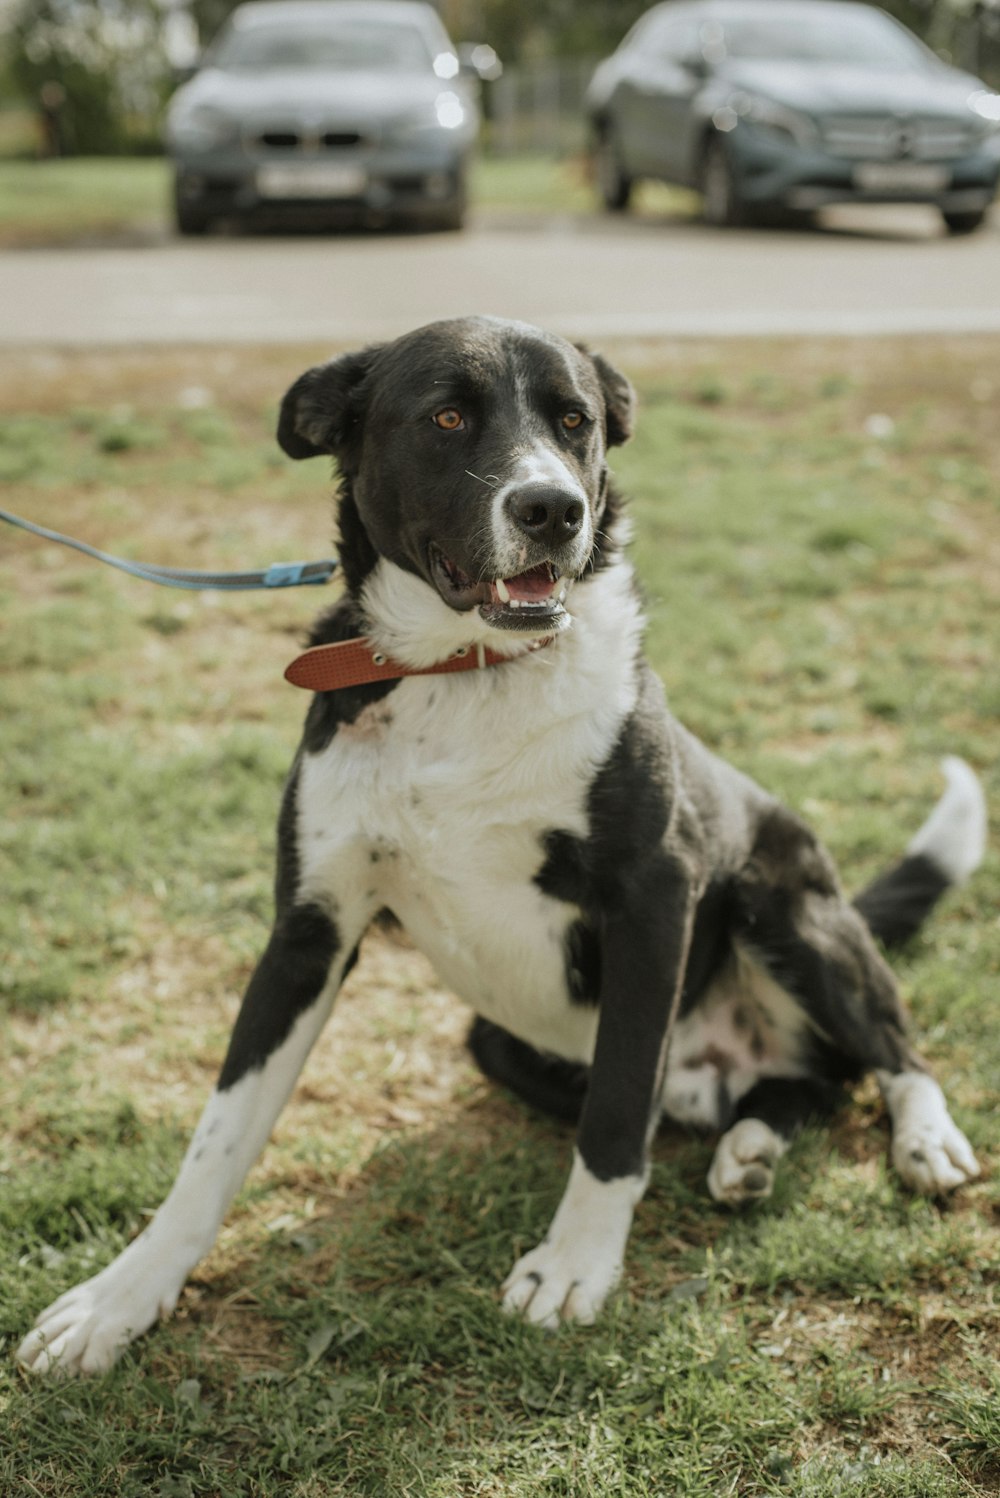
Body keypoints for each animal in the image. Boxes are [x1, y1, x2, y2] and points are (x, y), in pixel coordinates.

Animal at [19, 316, 982, 1372]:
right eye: (446, 417)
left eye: (575, 421)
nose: (554, 508)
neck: (465, 670)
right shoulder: (309, 927)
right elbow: (217, 1137)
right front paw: (122, 1299)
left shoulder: (654, 895)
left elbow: (618, 1112)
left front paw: (575, 1266)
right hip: (499, 1040)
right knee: (783, 1088)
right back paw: (748, 1145)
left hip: (786, 906)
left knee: (884, 1049)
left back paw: (919, 1138)